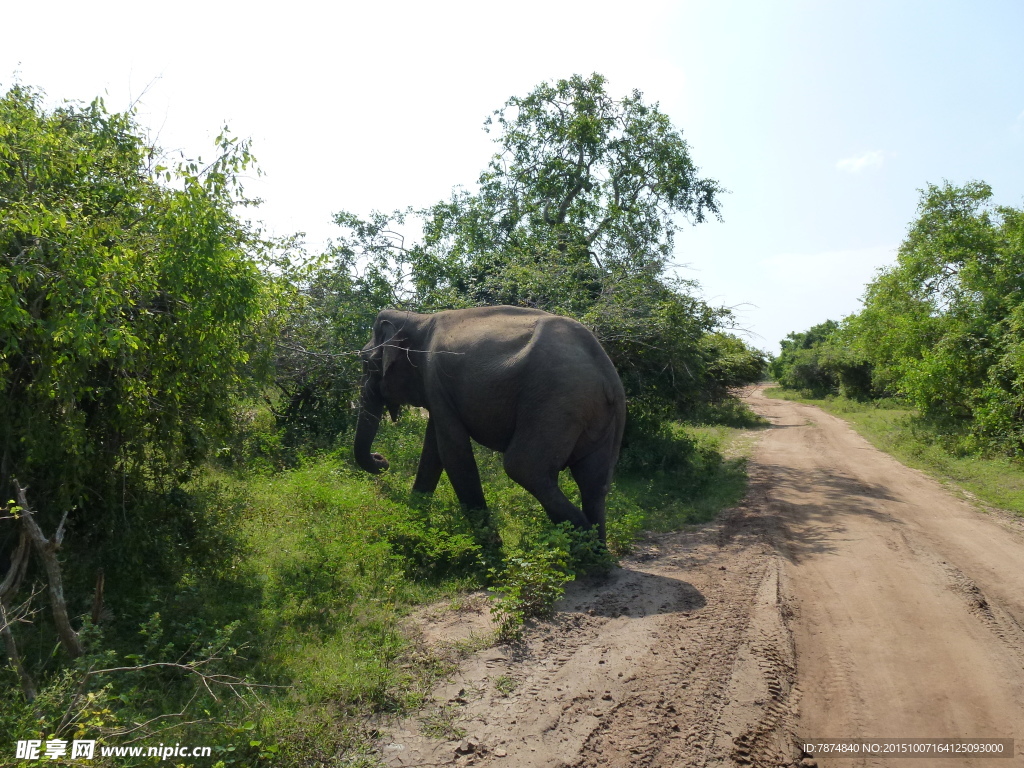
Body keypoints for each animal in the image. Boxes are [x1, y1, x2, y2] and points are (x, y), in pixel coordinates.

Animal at [354, 303, 622, 544]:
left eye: (366, 362)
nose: (381, 459)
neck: (418, 319)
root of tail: (608, 373)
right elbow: (434, 449)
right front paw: (413, 524)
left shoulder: (435, 378)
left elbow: (453, 451)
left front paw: (492, 547)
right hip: (595, 414)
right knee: (593, 481)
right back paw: (597, 549)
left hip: (557, 401)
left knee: (523, 468)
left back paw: (585, 545)